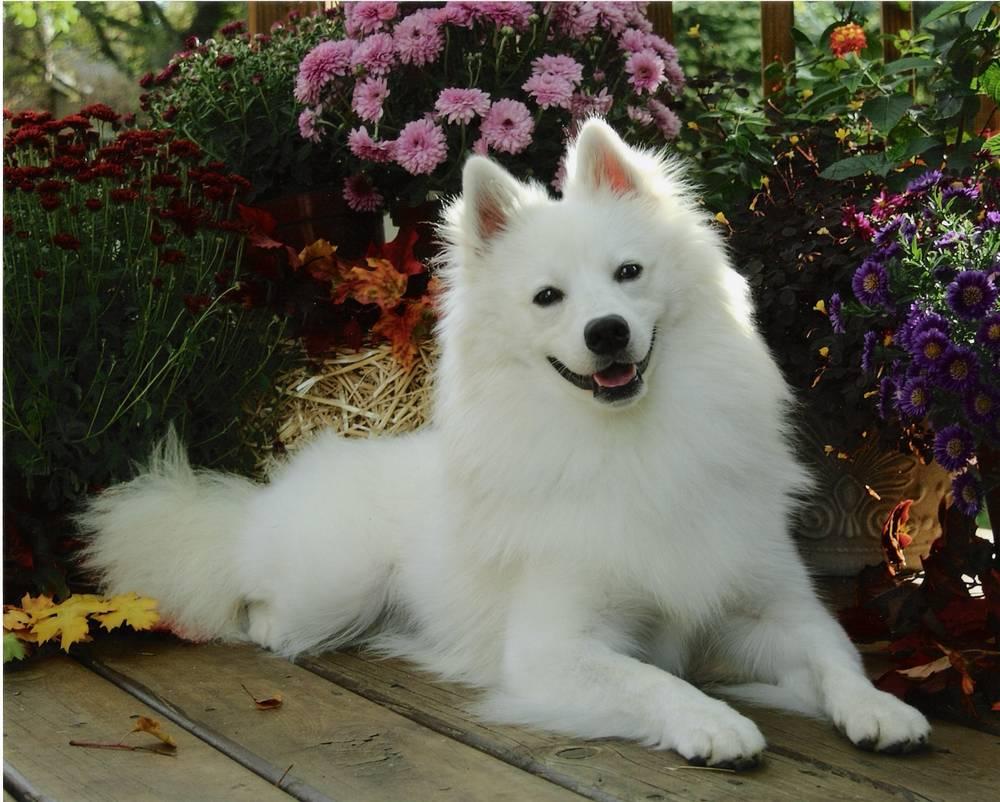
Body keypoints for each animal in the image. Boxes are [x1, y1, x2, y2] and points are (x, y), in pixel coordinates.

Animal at [78, 120, 928, 768]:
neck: (633, 439)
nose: (606, 332)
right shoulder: (556, 645)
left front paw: (877, 708)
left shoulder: (767, 606)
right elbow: (652, 682)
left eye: (629, 273)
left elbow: (835, 654)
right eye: (548, 297)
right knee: (261, 612)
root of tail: (260, 505)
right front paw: (712, 720)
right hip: (333, 586)